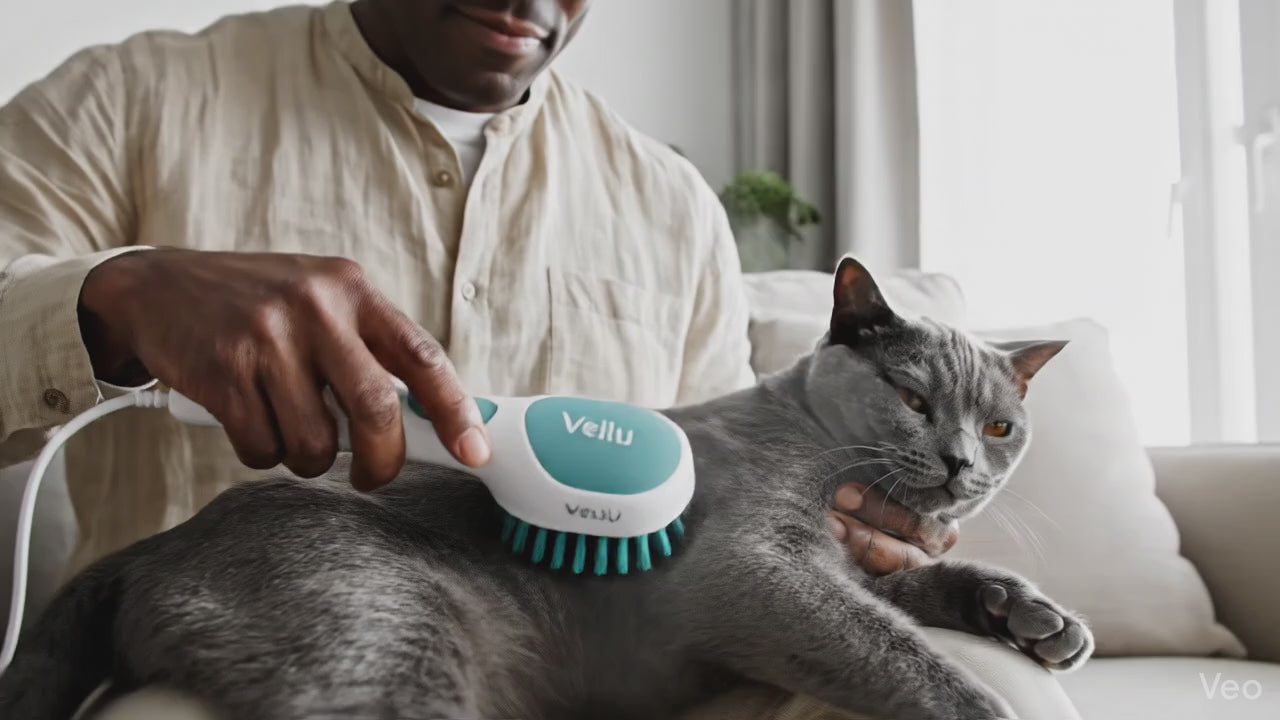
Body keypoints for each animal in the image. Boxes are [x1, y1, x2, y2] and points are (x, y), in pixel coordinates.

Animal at [0, 256, 1093, 720]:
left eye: (1000, 427)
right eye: (911, 398)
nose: (961, 463)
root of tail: (159, 543)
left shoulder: (848, 559)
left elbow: (924, 585)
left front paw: (1036, 619)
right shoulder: (752, 567)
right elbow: (892, 648)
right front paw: (983, 700)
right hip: (387, 633)